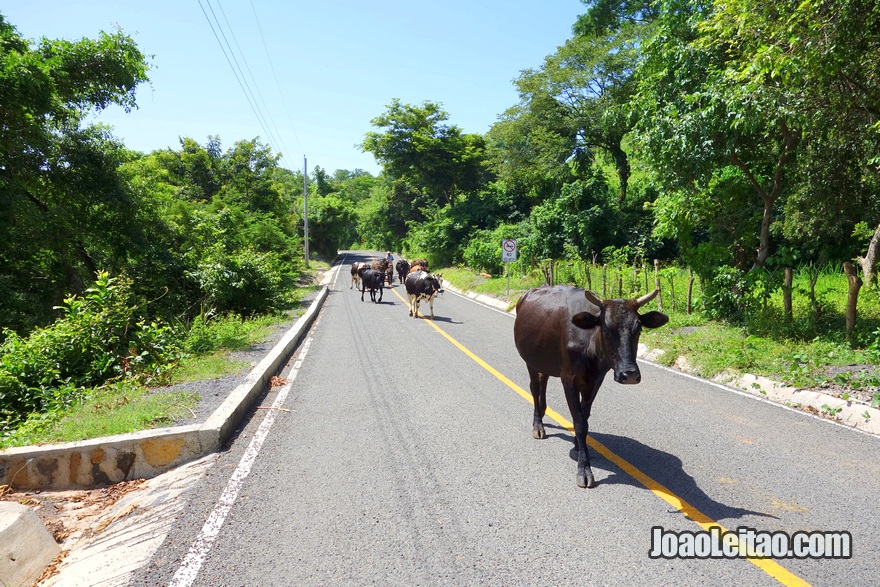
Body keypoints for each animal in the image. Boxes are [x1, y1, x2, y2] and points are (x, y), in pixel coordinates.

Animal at [508, 288, 668, 490]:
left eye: (638, 329)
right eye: (606, 329)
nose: (630, 374)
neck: (589, 345)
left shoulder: (596, 380)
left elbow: (584, 416)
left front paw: (578, 445)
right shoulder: (568, 379)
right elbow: (580, 423)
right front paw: (584, 469)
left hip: (544, 360)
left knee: (543, 381)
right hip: (531, 361)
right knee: (535, 389)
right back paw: (538, 425)